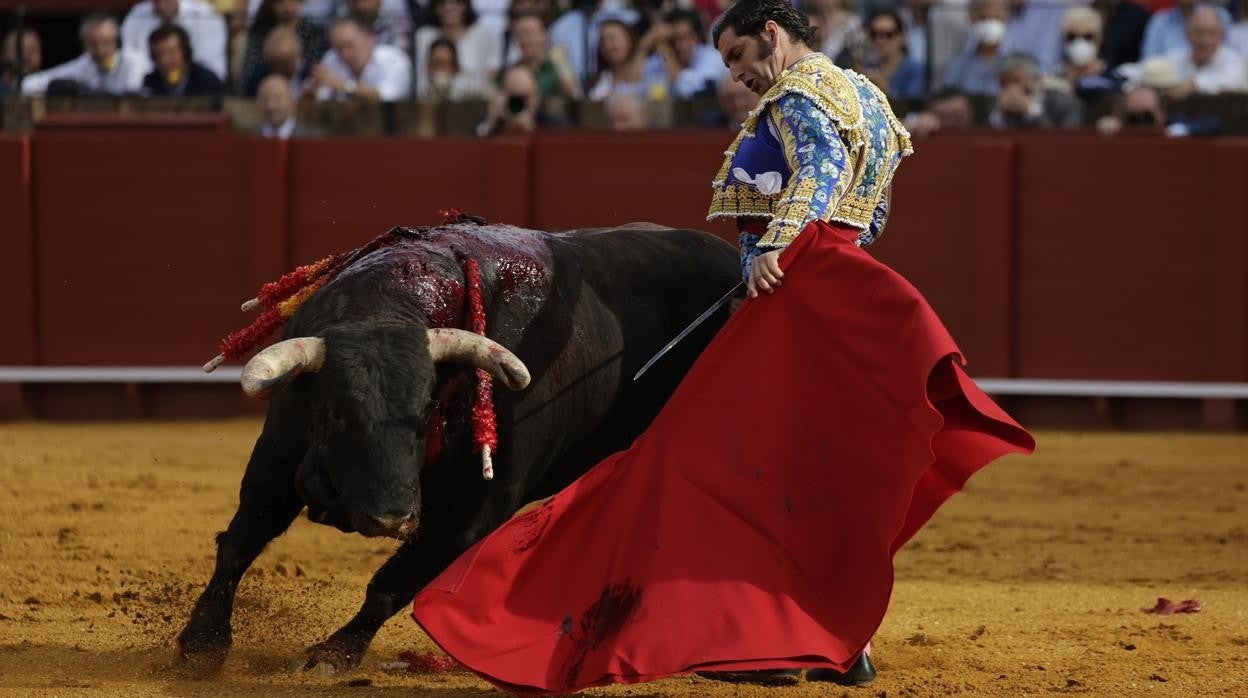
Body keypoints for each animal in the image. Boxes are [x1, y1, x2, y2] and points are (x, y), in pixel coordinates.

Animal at [175, 222, 738, 674]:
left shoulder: (471, 512)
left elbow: (391, 583)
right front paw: (202, 643)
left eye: (428, 408)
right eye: (335, 413)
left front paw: (331, 655)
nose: (391, 517)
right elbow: (242, 539)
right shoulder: (279, 448)